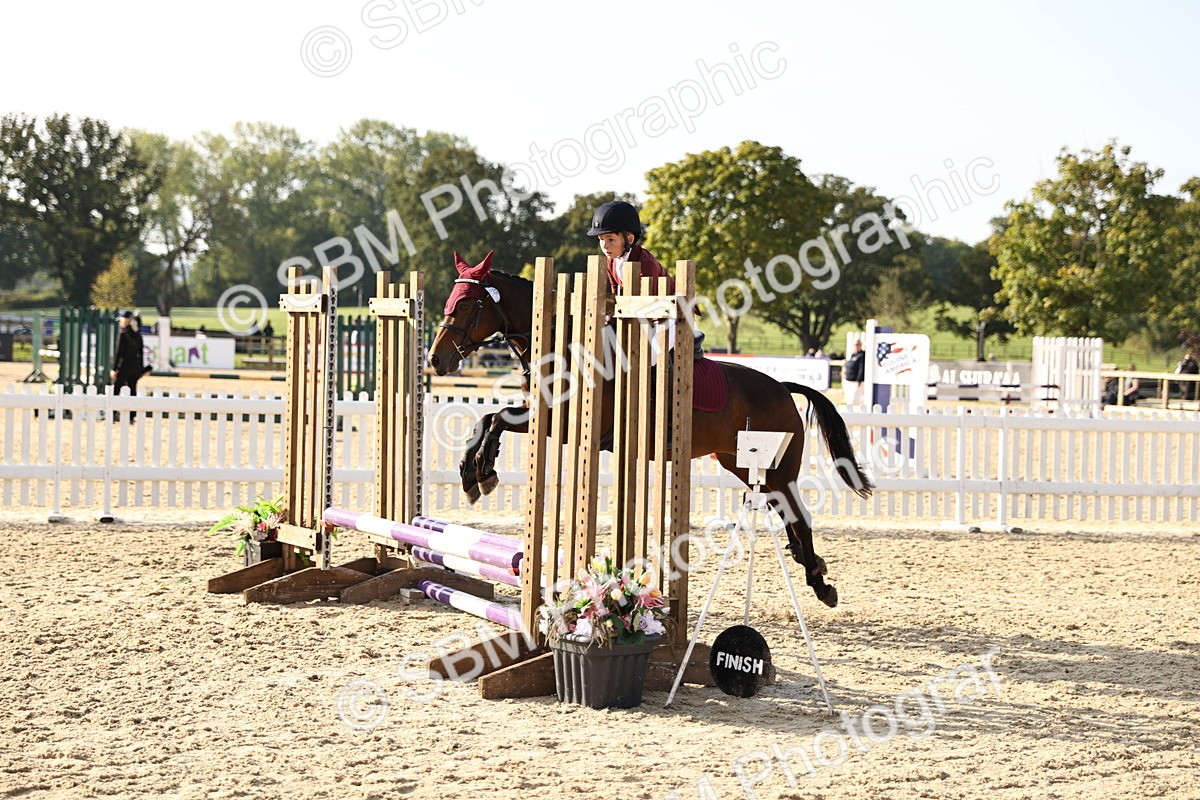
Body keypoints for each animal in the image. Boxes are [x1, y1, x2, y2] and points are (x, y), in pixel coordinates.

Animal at [427, 252, 873, 608]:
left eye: (465, 304)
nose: (436, 360)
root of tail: (782, 387)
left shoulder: (571, 424)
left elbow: (496, 419)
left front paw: (482, 472)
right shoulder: (544, 415)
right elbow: (488, 419)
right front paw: (473, 473)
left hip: (777, 465)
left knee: (798, 512)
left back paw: (820, 582)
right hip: (741, 463)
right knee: (785, 508)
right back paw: (810, 565)